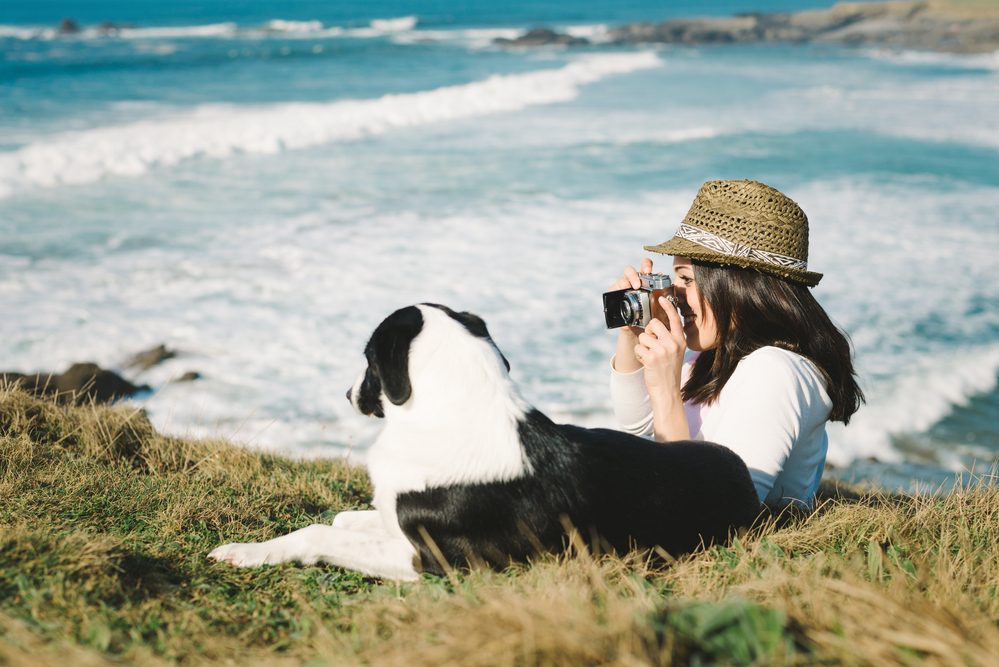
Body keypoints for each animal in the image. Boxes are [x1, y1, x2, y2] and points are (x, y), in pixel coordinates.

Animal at [211, 302, 756, 580]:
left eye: (367, 359)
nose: (347, 394)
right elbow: (341, 519)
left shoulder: (434, 559)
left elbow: (322, 534)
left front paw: (245, 551)